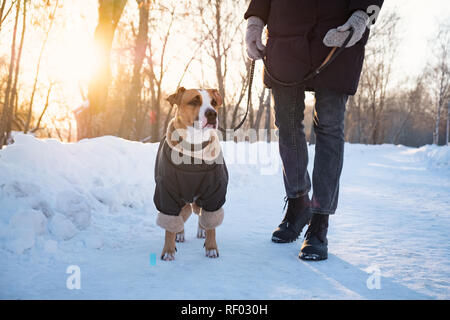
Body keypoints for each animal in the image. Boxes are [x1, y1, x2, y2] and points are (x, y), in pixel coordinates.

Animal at [154, 87, 229, 260]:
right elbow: (169, 224)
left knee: (202, 215)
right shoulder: (167, 191)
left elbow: (212, 223)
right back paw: (179, 234)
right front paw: (168, 250)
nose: (212, 113)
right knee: (179, 217)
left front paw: (211, 247)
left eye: (214, 102)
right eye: (194, 101)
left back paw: (201, 230)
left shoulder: (215, 192)